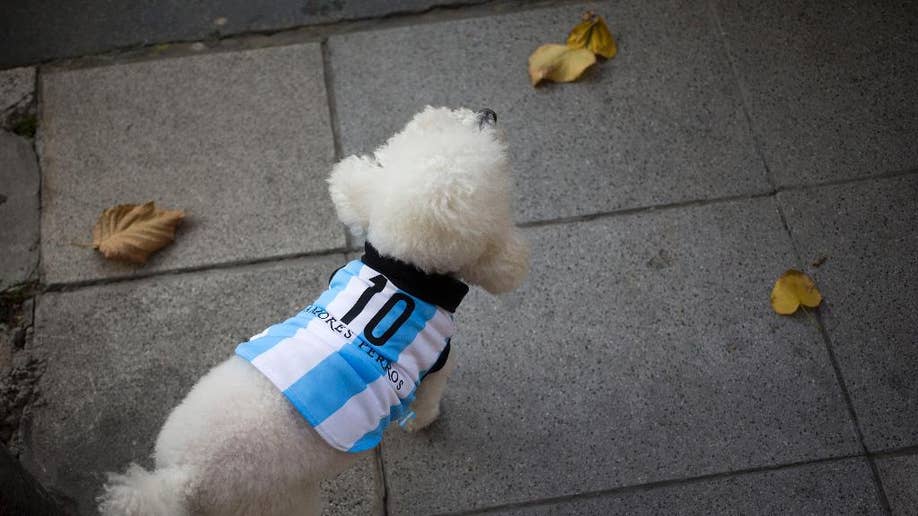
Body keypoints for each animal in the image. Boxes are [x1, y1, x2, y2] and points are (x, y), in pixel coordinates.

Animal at [97, 107, 528, 512]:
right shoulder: (436, 365)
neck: (402, 267)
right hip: (282, 501)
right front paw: (422, 423)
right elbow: (426, 402)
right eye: (490, 152)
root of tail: (181, 477)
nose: (489, 113)